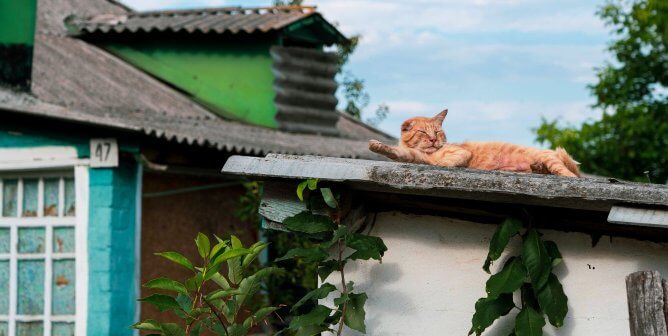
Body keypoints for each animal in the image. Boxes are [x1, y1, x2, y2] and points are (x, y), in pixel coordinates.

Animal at [368, 110, 580, 178]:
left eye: (437, 132)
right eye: (423, 132)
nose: (433, 140)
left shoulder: (460, 153)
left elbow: (443, 163)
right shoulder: (414, 156)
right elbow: (397, 152)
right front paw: (376, 145)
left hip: (553, 160)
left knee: (569, 174)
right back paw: (537, 168)